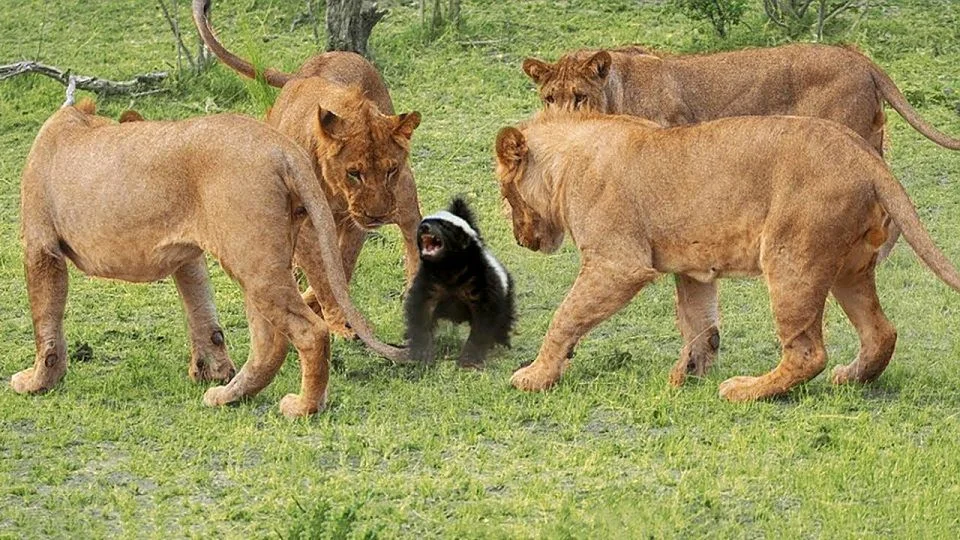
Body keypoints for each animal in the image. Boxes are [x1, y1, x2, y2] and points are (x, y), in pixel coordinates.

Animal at [15, 98, 404, 418]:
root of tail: (282, 147)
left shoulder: (41, 246)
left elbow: (46, 323)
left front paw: (37, 381)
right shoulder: (186, 256)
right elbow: (202, 314)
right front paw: (212, 370)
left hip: (253, 259)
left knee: (310, 332)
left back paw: (303, 407)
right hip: (258, 258)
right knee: (270, 342)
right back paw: (228, 395)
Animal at [193, 0, 422, 338]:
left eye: (390, 170)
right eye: (354, 173)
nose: (379, 215)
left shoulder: (356, 219)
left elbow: (341, 264)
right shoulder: (307, 225)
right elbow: (323, 275)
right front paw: (337, 320)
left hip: (404, 198)